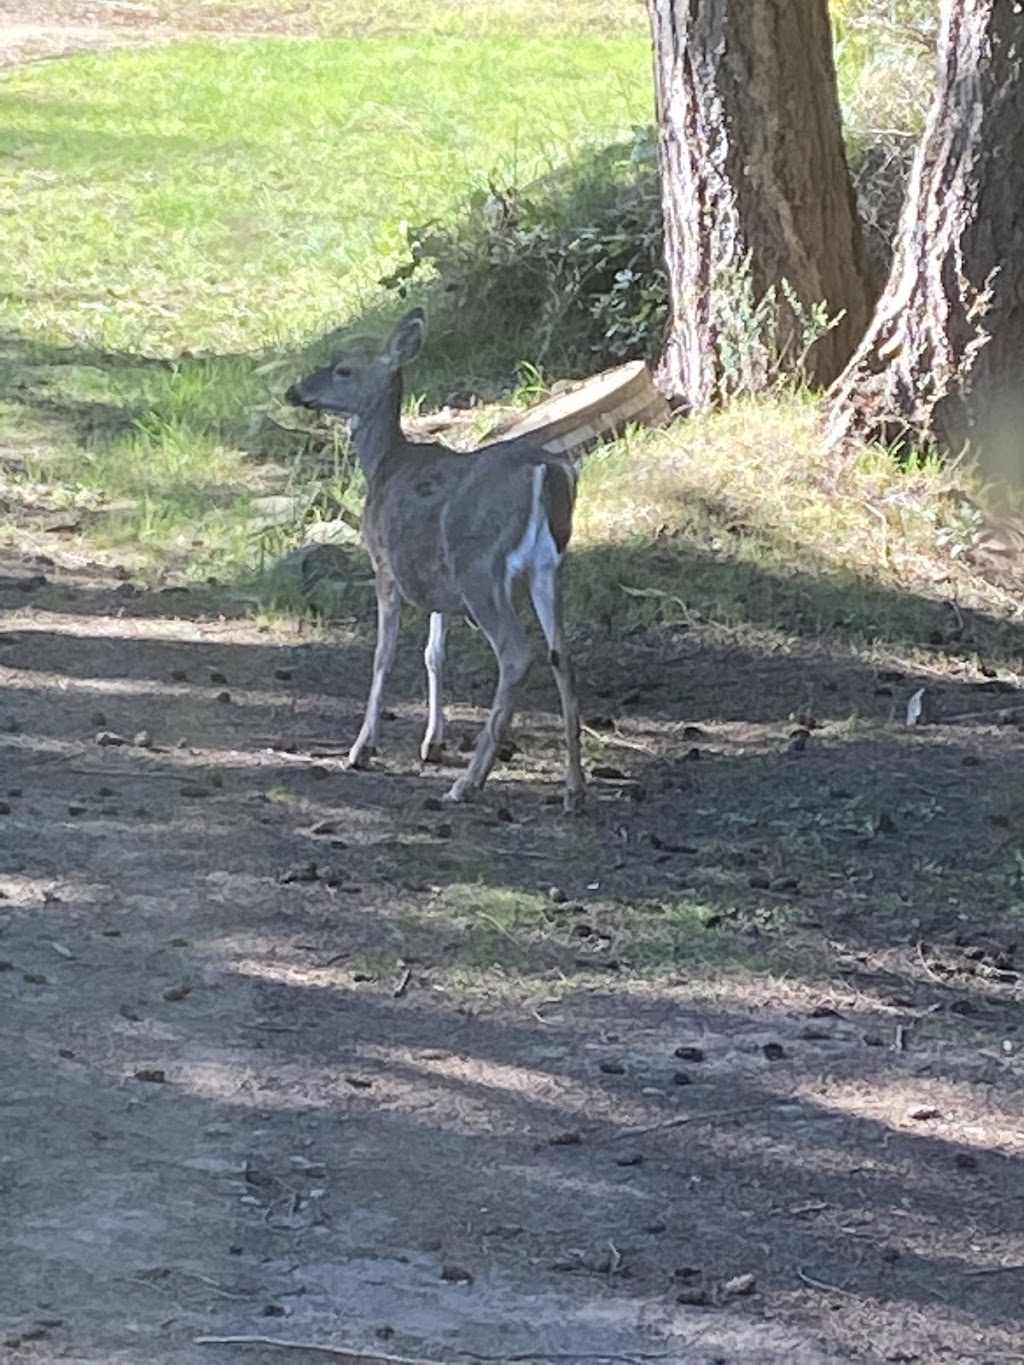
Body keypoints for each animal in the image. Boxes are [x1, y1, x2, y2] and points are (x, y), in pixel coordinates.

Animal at [285, 307, 589, 808]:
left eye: (343, 369)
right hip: (548, 567)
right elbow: (434, 653)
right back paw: (573, 787)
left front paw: (361, 748)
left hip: (479, 566)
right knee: (561, 652)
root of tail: (545, 470)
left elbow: (384, 654)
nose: (295, 390)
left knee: (516, 653)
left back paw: (467, 783)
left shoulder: (385, 563)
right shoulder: (435, 582)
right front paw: (432, 742)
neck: (384, 464)